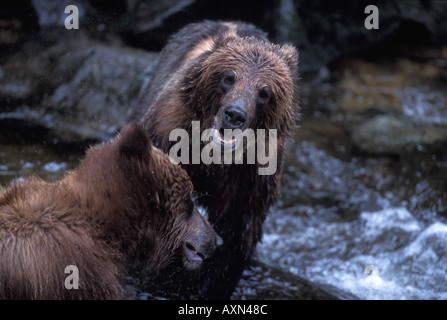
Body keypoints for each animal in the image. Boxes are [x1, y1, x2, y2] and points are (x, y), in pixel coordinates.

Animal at [129, 20, 300, 300]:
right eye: (228, 77)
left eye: (264, 92)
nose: (235, 114)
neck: (211, 158)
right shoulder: (167, 132)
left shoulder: (249, 180)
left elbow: (235, 239)